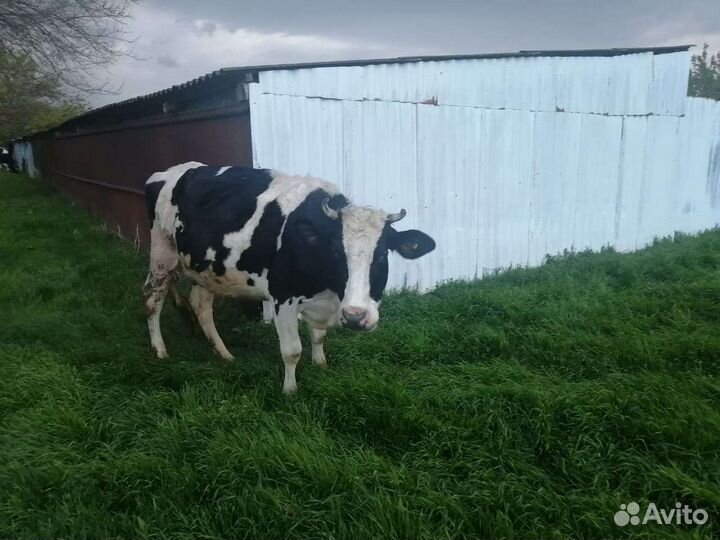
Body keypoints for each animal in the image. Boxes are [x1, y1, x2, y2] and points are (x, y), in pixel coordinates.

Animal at [144, 162, 435, 393]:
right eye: (336, 252)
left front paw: (321, 366)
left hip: (206, 269)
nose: (355, 316)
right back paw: (160, 350)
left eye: (383, 254)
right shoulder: (282, 298)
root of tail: (168, 171)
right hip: (162, 254)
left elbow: (318, 337)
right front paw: (290, 391)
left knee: (201, 307)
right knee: (151, 301)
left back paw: (224, 354)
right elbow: (292, 350)